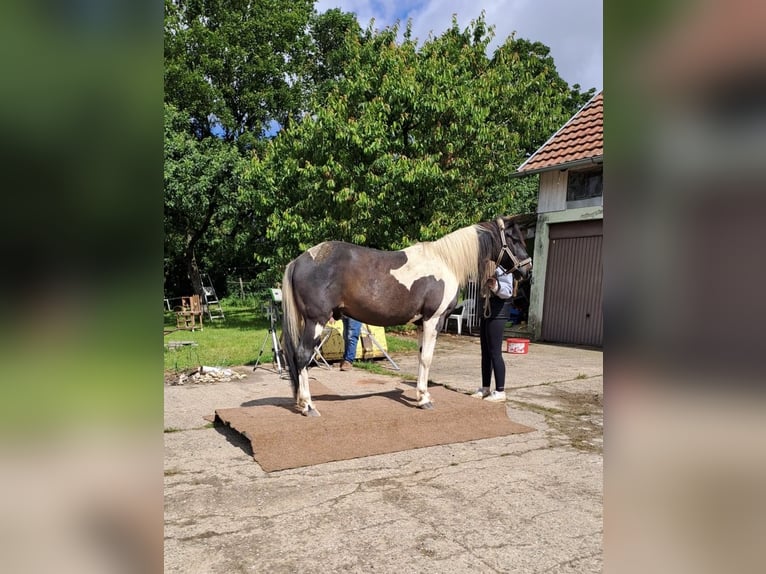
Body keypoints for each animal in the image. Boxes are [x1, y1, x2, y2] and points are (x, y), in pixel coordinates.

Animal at [280, 215, 532, 416]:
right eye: (514, 239)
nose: (527, 270)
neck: (446, 262)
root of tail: (299, 261)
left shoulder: (421, 323)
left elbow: (421, 357)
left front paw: (420, 396)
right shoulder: (433, 320)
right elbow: (427, 359)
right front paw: (425, 399)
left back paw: (302, 403)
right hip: (316, 321)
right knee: (303, 356)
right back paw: (308, 406)